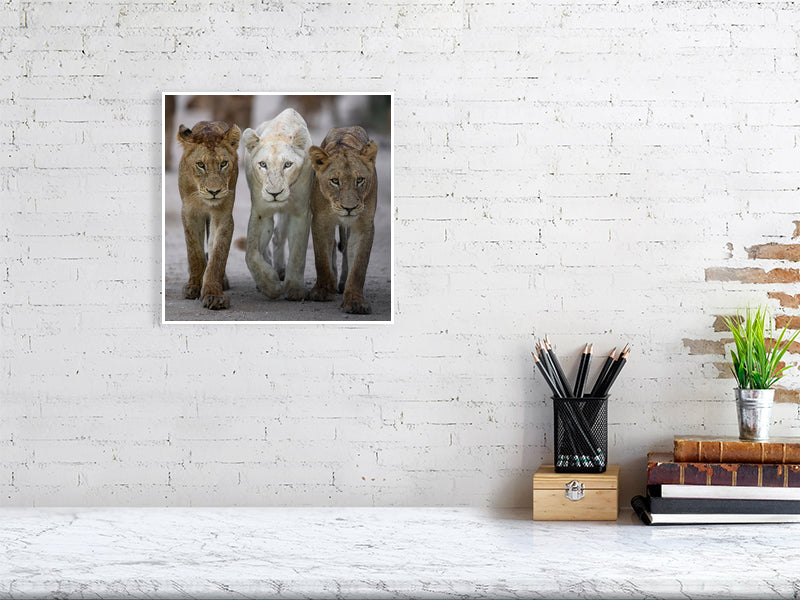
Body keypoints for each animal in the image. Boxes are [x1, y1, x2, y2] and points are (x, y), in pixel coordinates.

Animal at [176, 120, 241, 310]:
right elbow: (195, 253)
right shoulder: (190, 213)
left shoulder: (223, 215)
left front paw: (213, 294)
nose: (214, 192)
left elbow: (218, 255)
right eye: (200, 165)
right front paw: (194, 287)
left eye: (224, 163)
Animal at [242, 109, 314, 300]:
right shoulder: (260, 213)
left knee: (279, 235)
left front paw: (295, 289)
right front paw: (270, 286)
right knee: (269, 242)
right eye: (263, 164)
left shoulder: (300, 213)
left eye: (287, 164)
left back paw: (281, 270)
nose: (274, 194)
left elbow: (298, 252)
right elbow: (250, 254)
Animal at [306, 126, 378, 315]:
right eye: (335, 181)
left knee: (346, 250)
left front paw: (355, 301)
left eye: (359, 180)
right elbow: (321, 258)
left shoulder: (364, 225)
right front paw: (322, 291)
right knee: (332, 247)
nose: (349, 208)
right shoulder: (320, 221)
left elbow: (359, 265)